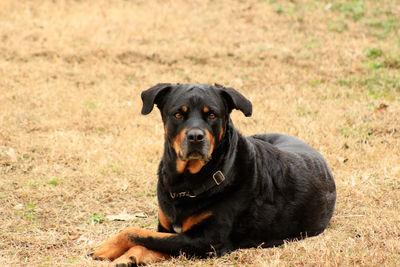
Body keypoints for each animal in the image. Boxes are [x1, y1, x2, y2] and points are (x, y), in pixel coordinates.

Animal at [90, 83, 334, 266]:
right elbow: (149, 239)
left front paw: (108, 248)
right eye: (178, 114)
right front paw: (128, 256)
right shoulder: (168, 229)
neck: (185, 184)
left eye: (212, 115)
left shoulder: (206, 240)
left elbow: (138, 233)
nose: (196, 137)